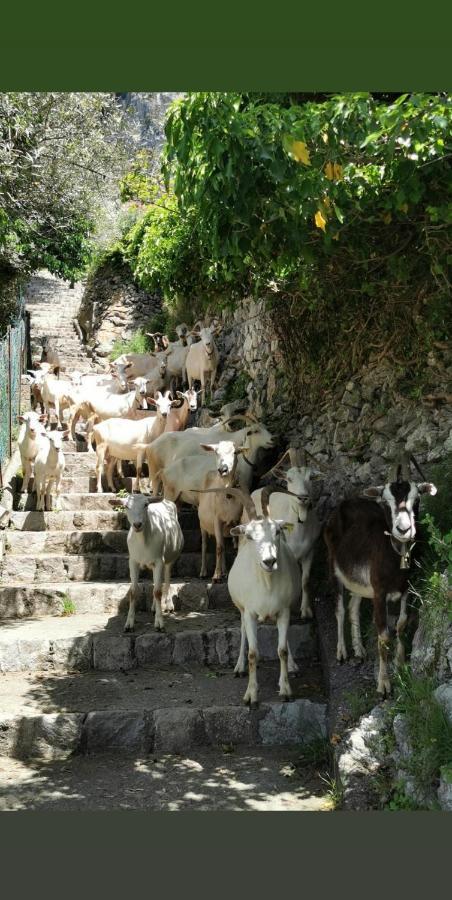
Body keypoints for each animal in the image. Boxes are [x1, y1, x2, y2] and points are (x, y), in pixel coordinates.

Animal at [109, 492, 184, 632]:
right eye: (126, 506)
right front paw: (129, 623)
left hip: (170, 558)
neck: (143, 541)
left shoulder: (159, 560)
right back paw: (154, 607)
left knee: (167, 579)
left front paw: (159, 623)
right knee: (156, 583)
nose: (137, 524)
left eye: (146, 504)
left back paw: (168, 605)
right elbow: (133, 592)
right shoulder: (133, 561)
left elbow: (158, 592)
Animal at [324, 454, 436, 700]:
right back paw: (342, 652)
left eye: (417, 498)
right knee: (340, 609)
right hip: (334, 568)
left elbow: (402, 623)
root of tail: (343, 505)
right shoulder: (379, 592)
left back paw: (359, 650)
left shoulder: (406, 588)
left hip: (360, 582)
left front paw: (401, 663)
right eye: (385, 502)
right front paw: (384, 685)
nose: (403, 529)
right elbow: (383, 635)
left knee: (354, 607)